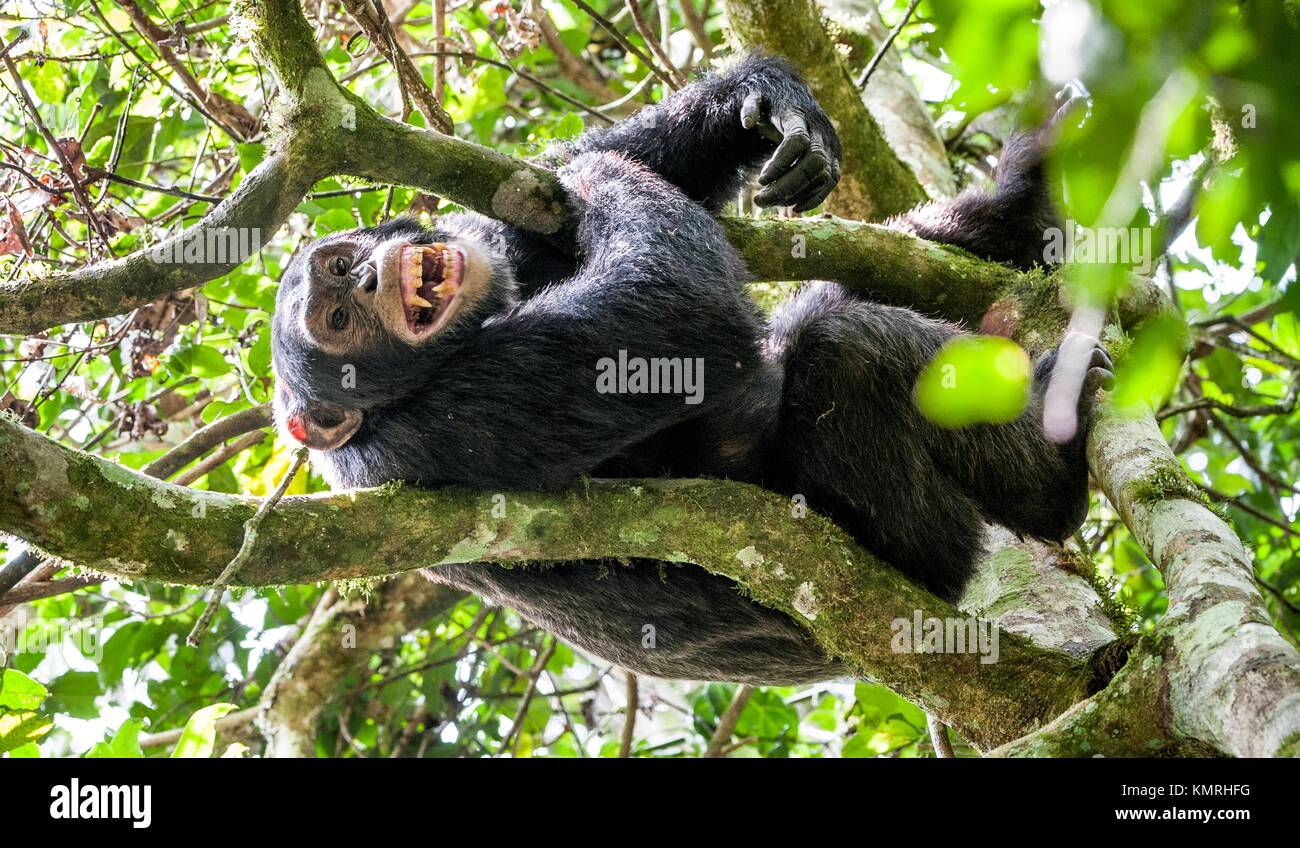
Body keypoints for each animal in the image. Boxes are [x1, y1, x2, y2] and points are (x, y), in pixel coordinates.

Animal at [271, 53, 1107, 686]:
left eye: (338, 265)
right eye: (336, 323)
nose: (366, 279)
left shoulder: (500, 248)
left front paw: (771, 103)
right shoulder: (445, 424)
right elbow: (668, 317)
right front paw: (598, 173)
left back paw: (1021, 204)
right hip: (923, 555)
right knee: (844, 351)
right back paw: (1052, 469)